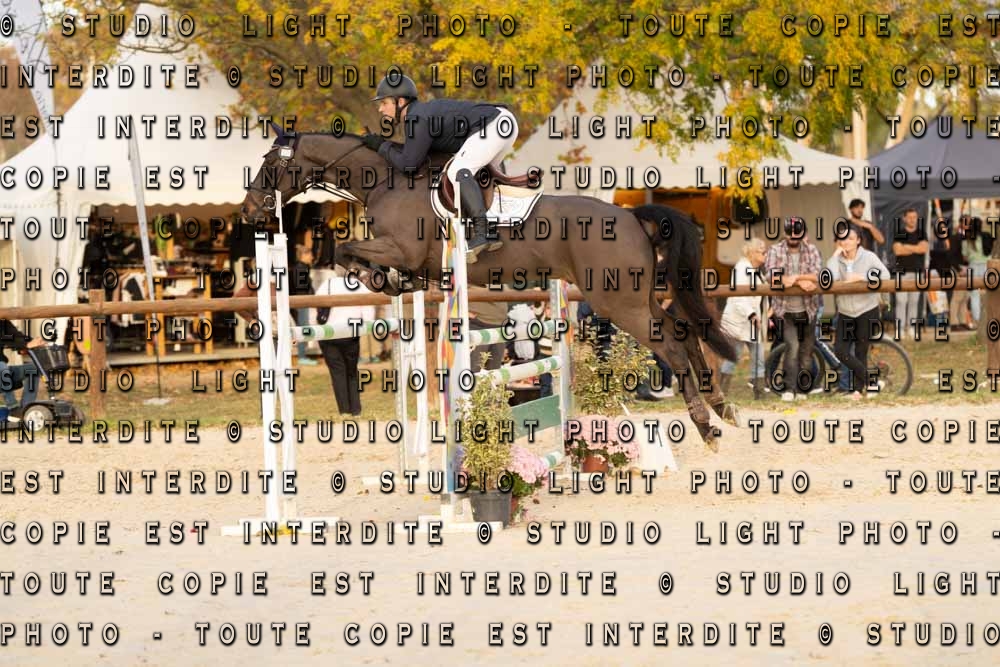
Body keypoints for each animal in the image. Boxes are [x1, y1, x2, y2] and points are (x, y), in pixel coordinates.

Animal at [239, 124, 742, 449]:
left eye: (268, 164)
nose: (247, 212)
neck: (385, 181)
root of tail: (632, 215)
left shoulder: (399, 247)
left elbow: (348, 252)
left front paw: (381, 278)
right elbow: (355, 255)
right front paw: (392, 281)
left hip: (618, 302)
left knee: (672, 346)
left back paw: (707, 428)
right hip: (635, 296)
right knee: (684, 332)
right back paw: (724, 408)